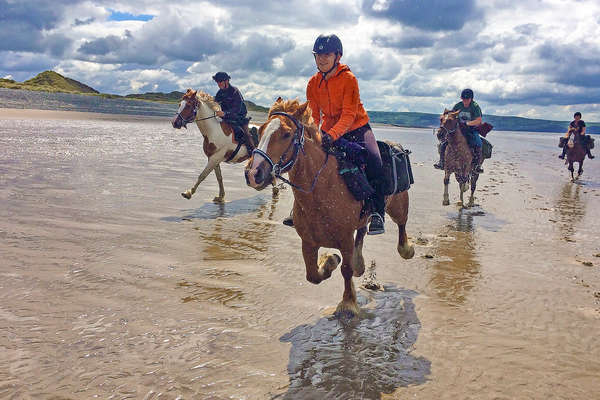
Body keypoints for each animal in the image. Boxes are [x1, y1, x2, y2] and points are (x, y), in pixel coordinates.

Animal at [244, 98, 412, 318]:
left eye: (287, 134)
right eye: (261, 130)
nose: (253, 173)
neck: (322, 188)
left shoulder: (345, 239)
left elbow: (346, 270)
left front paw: (348, 304)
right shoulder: (308, 242)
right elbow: (312, 275)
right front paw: (331, 260)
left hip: (398, 206)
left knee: (401, 226)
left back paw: (406, 249)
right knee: (362, 233)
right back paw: (360, 264)